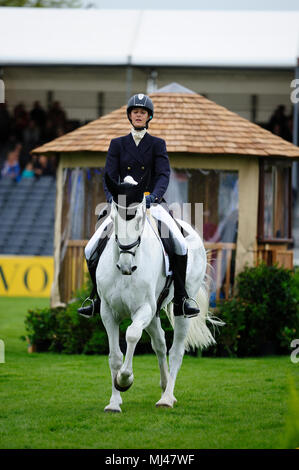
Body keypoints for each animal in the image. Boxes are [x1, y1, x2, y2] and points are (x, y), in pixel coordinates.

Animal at [97, 174, 221, 414]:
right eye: (114, 218)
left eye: (139, 220)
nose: (126, 266)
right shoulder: (108, 312)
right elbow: (115, 356)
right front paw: (114, 402)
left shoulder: (143, 308)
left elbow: (132, 335)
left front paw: (125, 380)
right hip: (154, 314)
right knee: (160, 344)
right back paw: (164, 386)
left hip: (180, 309)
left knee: (176, 351)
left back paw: (167, 398)